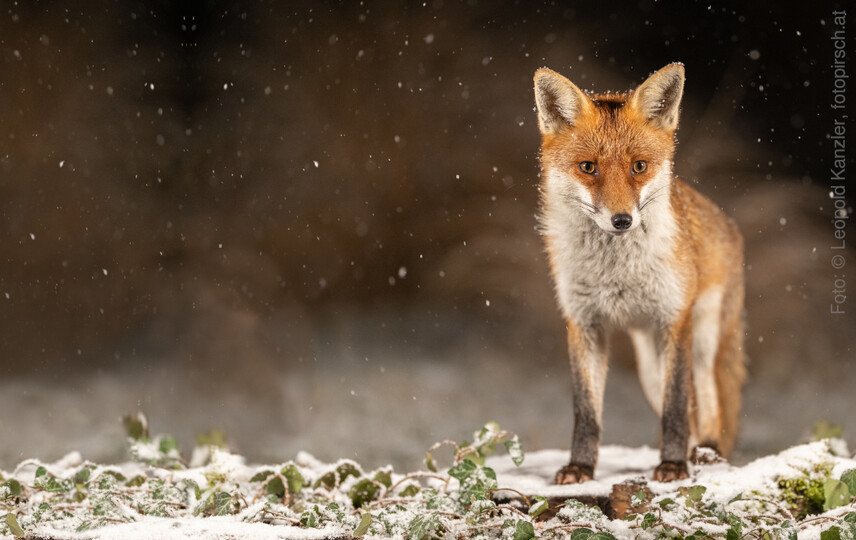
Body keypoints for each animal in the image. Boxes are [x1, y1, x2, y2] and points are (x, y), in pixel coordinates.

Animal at [533, 64, 746, 483]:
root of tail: (727, 222)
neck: (616, 275)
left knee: (707, 405)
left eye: (639, 167)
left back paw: (706, 454)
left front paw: (673, 466)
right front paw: (581, 467)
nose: (622, 220)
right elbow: (587, 412)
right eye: (588, 167)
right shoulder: (583, 323)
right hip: (649, 367)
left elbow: (676, 405)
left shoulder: (675, 319)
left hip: (703, 343)